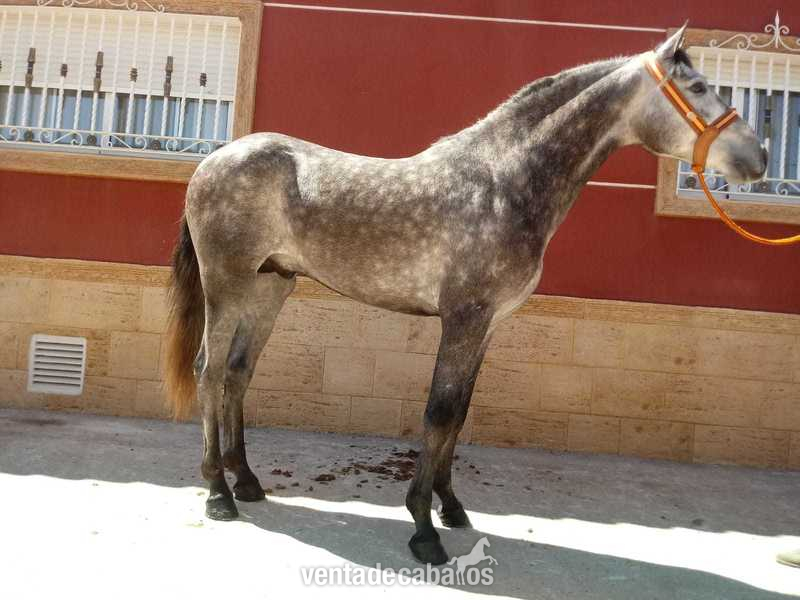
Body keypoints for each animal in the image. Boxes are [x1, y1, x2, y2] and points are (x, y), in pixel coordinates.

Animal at [165, 24, 766, 565]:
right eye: (697, 87)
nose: (758, 158)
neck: (504, 182)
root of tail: (214, 159)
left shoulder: (488, 324)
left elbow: (459, 414)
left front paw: (451, 508)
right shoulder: (464, 318)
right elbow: (438, 412)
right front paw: (423, 529)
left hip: (270, 287)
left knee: (239, 372)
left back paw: (247, 481)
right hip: (227, 284)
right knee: (209, 371)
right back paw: (218, 493)